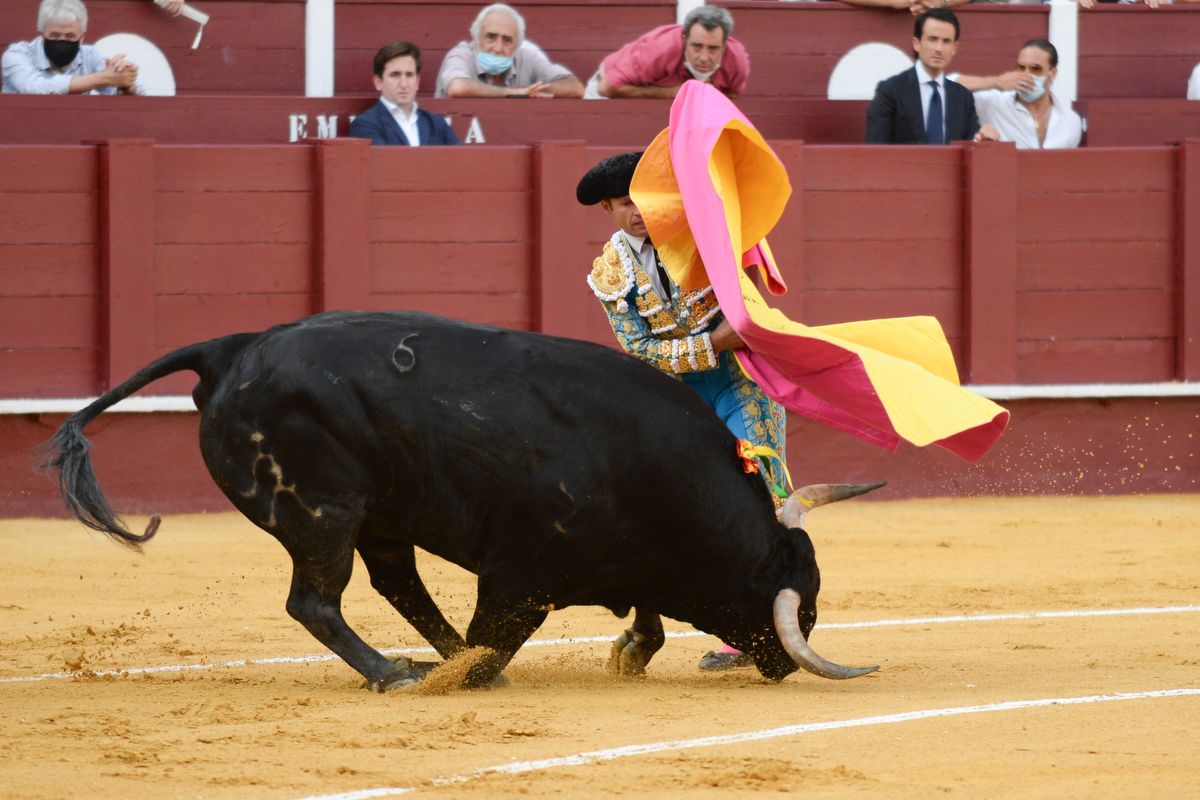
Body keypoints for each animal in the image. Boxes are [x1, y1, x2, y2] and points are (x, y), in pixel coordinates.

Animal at [46, 309, 878, 690]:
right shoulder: (521, 575)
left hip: (377, 516)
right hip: (323, 512)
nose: (782, 661)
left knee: (395, 584)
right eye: (794, 603)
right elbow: (499, 628)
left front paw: (630, 649)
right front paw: (473, 671)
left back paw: (428, 661)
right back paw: (400, 673)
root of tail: (232, 350)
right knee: (316, 602)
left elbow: (644, 612)